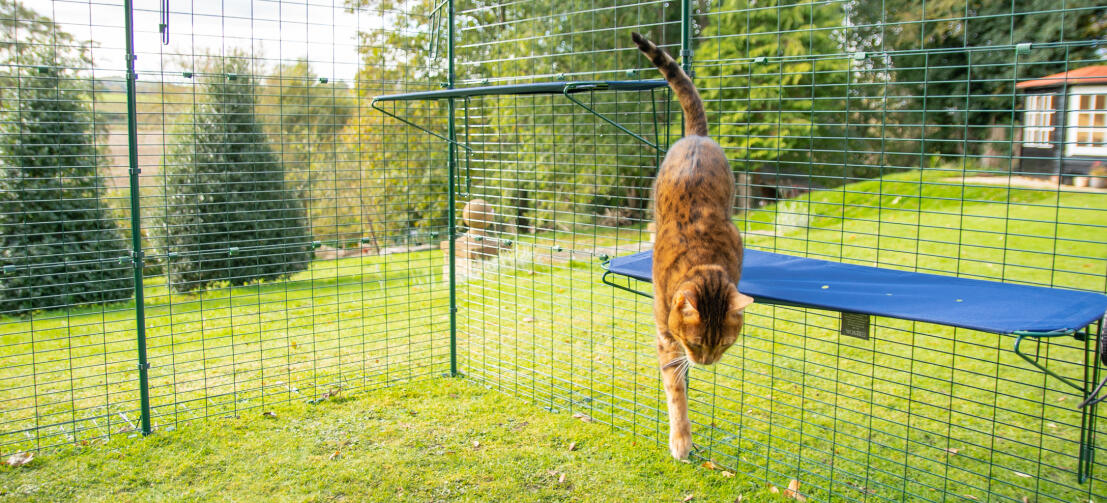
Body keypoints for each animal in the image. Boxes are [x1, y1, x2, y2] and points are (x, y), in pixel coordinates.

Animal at [633, 31, 752, 458]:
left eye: (725, 345)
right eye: (696, 342)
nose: (705, 364)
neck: (703, 260)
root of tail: (695, 136)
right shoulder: (666, 337)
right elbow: (675, 390)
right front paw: (681, 438)